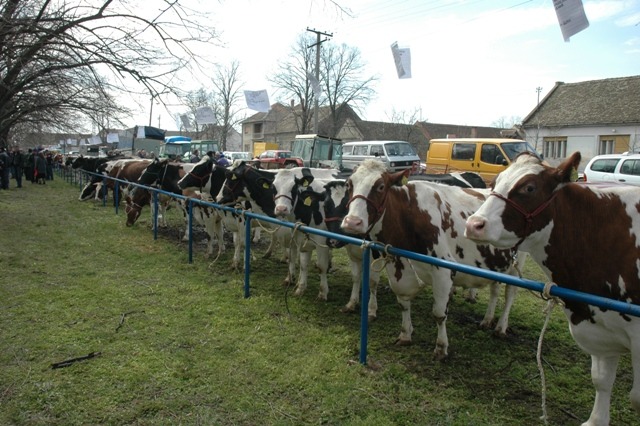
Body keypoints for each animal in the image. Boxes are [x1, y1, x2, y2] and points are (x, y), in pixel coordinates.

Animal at [340, 160, 524, 360]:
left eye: (380, 186)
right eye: (349, 184)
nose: (352, 222)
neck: (408, 215)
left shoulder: (443, 271)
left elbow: (439, 313)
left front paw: (441, 347)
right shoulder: (397, 264)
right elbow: (403, 303)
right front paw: (405, 334)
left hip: (517, 263)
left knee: (510, 294)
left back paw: (501, 327)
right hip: (497, 262)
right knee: (494, 290)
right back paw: (487, 319)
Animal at [464, 151, 640, 426]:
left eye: (529, 187)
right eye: (495, 182)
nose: (473, 224)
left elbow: (636, 398)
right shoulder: (598, 327)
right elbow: (601, 381)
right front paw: (595, 420)